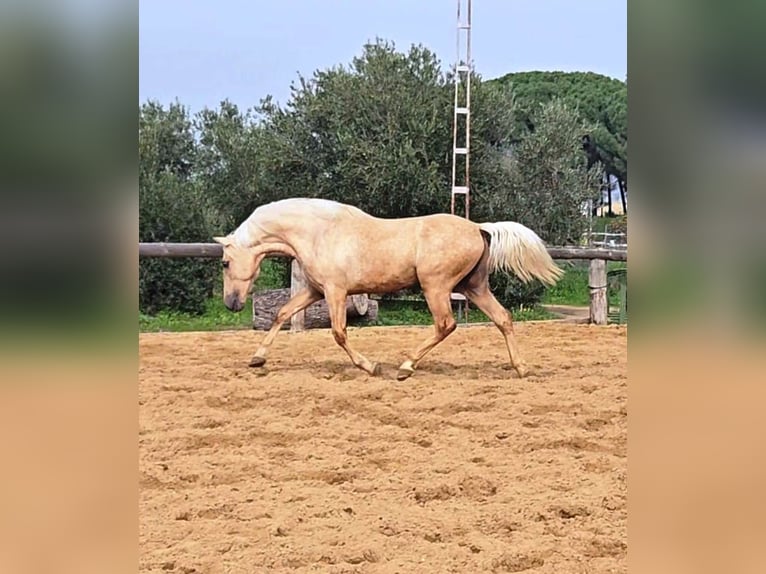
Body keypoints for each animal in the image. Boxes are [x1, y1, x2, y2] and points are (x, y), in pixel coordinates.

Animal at [216, 198, 564, 382]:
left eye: (224, 262)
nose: (231, 304)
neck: (319, 232)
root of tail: (479, 227)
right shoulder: (316, 291)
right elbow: (282, 313)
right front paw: (257, 359)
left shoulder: (335, 291)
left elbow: (339, 333)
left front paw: (371, 366)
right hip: (474, 287)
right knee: (503, 318)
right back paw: (521, 368)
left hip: (435, 287)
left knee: (445, 324)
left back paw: (405, 367)